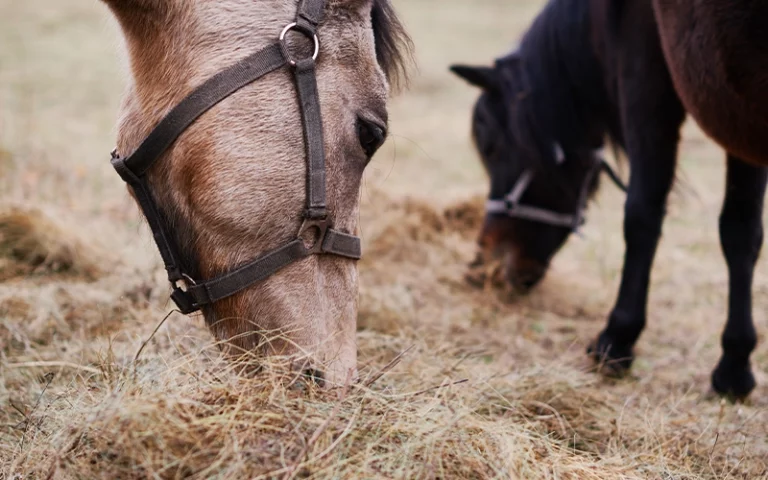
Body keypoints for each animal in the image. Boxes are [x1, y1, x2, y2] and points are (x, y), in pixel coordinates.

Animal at [450, 0, 768, 400]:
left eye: (490, 144)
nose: (485, 264)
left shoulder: (646, 77)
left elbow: (642, 215)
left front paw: (617, 339)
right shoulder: (734, 115)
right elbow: (741, 231)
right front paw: (735, 365)